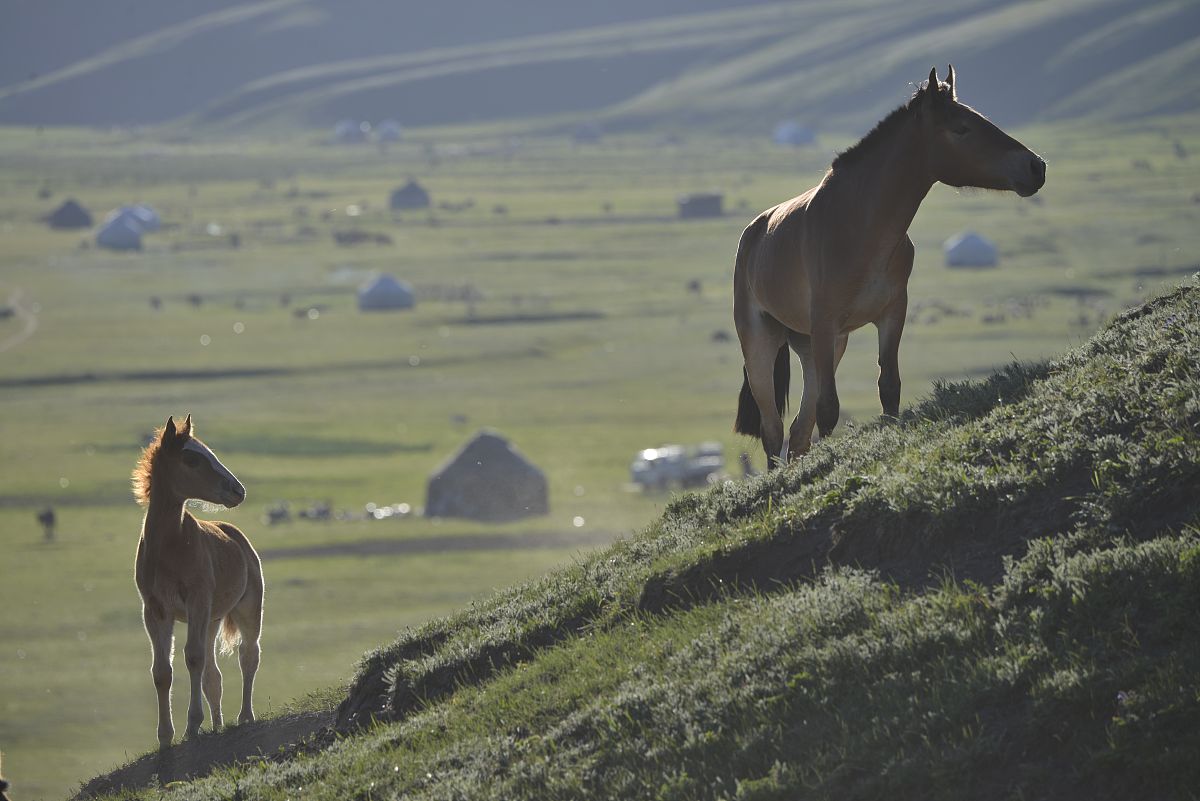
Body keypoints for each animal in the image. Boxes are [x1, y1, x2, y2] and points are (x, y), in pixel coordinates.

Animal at [131, 414, 263, 748]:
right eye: (191, 459)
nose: (237, 490)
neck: (170, 546)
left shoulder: (197, 601)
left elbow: (192, 658)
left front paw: (192, 726)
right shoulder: (155, 610)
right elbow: (162, 671)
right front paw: (165, 736)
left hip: (247, 609)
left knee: (248, 655)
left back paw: (245, 716)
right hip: (212, 619)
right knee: (213, 675)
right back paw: (218, 725)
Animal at [734, 65, 1045, 466]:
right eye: (962, 128)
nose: (1036, 166)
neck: (860, 225)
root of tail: (752, 234)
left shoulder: (891, 313)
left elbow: (889, 389)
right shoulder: (825, 321)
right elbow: (830, 409)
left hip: (817, 346)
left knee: (799, 431)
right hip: (763, 342)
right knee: (774, 431)